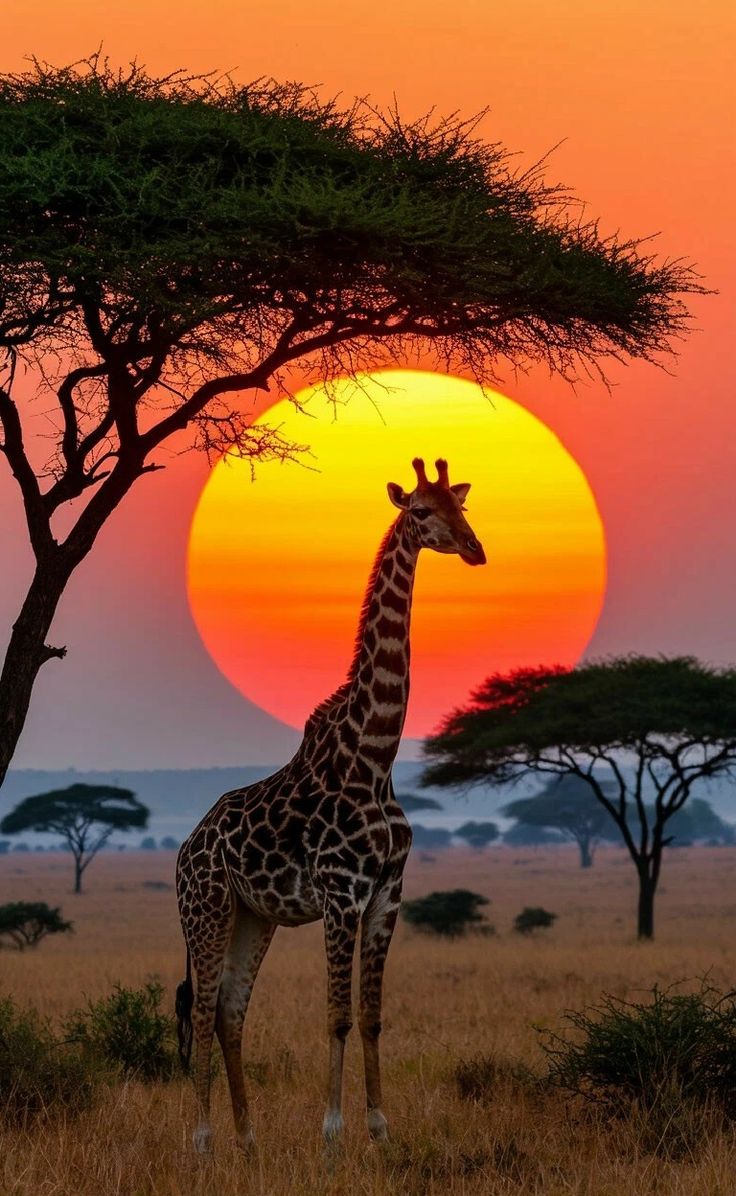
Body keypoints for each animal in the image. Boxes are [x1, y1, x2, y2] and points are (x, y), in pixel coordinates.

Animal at [175, 456, 486, 1153]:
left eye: (462, 506)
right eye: (420, 511)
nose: (475, 549)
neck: (374, 758)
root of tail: (184, 849)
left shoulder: (387, 893)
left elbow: (371, 1016)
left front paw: (380, 1129)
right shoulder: (342, 894)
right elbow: (338, 1016)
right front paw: (332, 1134)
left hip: (253, 916)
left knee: (231, 1011)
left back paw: (248, 1141)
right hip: (206, 910)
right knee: (203, 1010)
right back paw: (202, 1141)